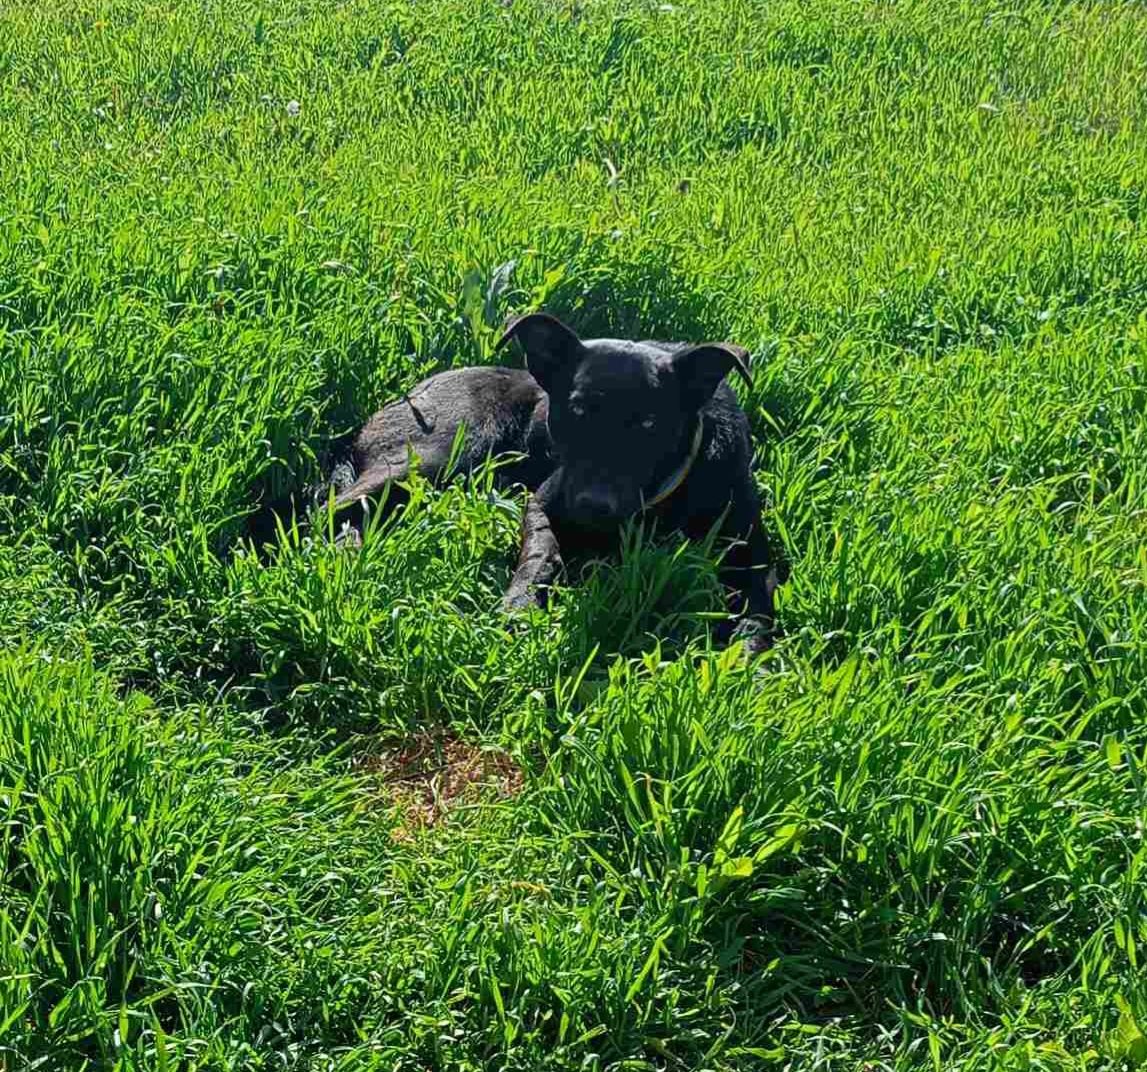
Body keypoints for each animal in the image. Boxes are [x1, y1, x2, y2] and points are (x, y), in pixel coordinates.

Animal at [328, 309, 784, 655]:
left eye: (649, 424)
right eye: (577, 410)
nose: (589, 507)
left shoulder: (754, 556)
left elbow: (757, 613)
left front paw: (745, 665)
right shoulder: (545, 501)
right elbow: (541, 552)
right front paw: (521, 604)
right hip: (436, 454)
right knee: (334, 507)